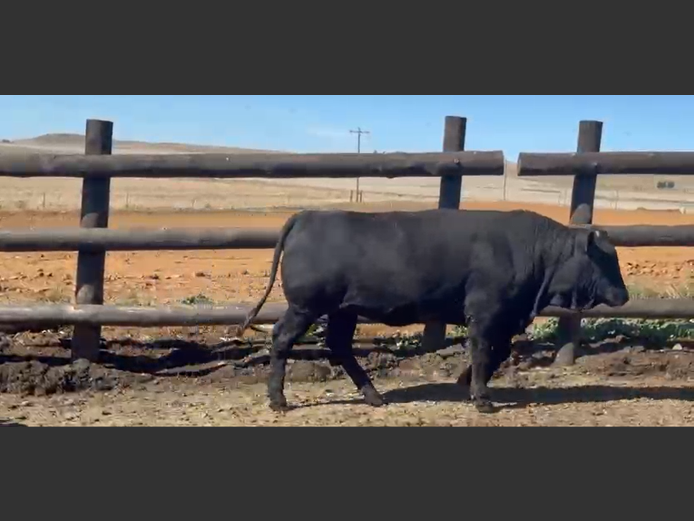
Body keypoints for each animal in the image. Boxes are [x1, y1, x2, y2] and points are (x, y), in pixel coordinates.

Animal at [235, 208, 629, 414]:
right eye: (607, 260)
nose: (624, 294)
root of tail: (308, 215)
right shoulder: (485, 312)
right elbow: (484, 352)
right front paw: (481, 398)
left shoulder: (504, 317)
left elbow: (497, 352)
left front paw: (466, 383)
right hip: (306, 306)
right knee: (281, 339)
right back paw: (279, 400)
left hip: (342, 310)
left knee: (340, 346)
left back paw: (373, 396)